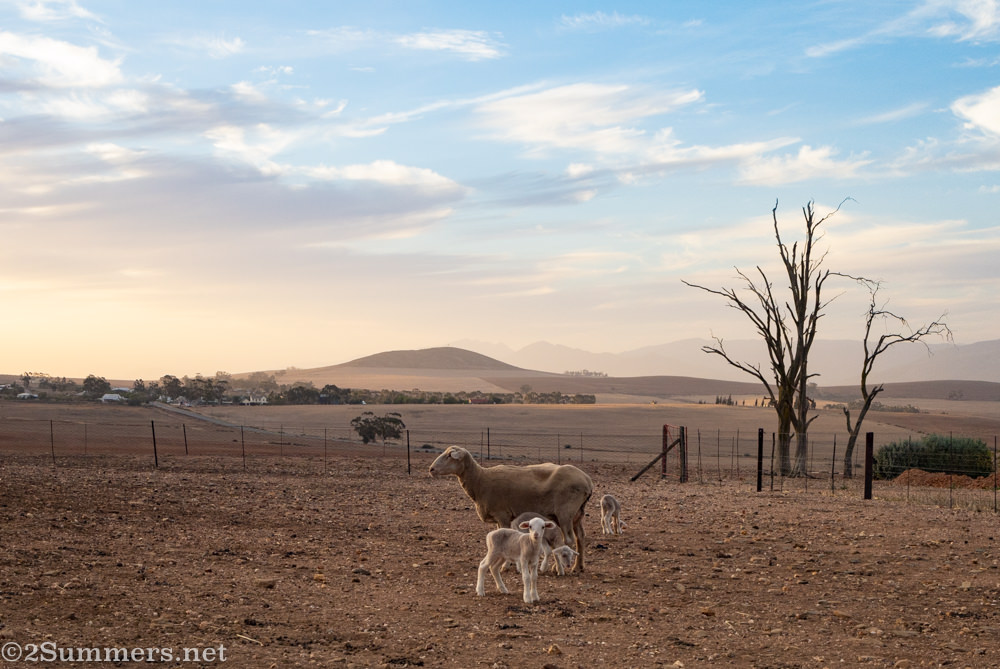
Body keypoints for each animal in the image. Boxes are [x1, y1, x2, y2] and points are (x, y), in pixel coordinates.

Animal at [429, 446, 593, 572]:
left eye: (450, 455)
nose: (431, 469)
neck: (480, 480)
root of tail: (587, 481)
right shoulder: (498, 517)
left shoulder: (503, 514)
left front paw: (505, 566)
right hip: (577, 514)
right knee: (580, 537)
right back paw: (578, 567)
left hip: (565, 512)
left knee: (569, 539)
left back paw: (558, 567)